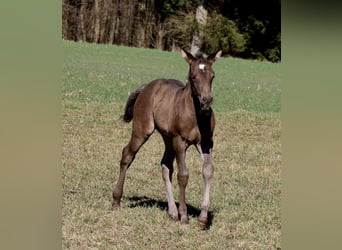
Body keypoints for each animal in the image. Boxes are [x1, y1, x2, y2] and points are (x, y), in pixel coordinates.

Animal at [112, 48, 222, 229]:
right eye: (193, 76)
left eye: (212, 76)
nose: (207, 100)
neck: (195, 115)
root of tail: (147, 87)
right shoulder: (180, 141)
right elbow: (183, 176)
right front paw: (184, 217)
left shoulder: (206, 143)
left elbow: (208, 170)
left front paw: (202, 218)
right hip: (144, 130)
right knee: (127, 154)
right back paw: (116, 200)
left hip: (167, 138)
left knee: (165, 165)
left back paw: (172, 212)